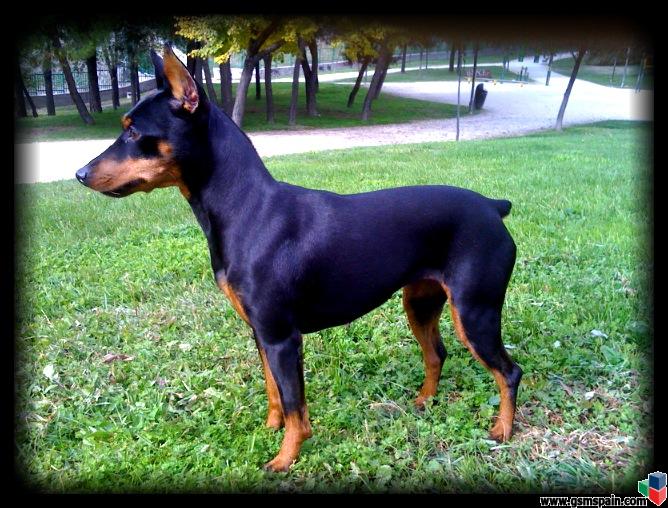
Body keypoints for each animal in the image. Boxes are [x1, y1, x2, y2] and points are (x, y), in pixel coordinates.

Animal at [74, 44, 520, 472]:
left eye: (133, 131)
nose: (80, 174)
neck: (246, 208)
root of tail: (491, 207)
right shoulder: (261, 334)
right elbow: (274, 391)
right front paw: (269, 428)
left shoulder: (282, 337)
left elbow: (295, 405)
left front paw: (285, 458)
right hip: (421, 302)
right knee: (436, 354)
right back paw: (424, 402)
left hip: (475, 312)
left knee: (509, 371)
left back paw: (503, 430)